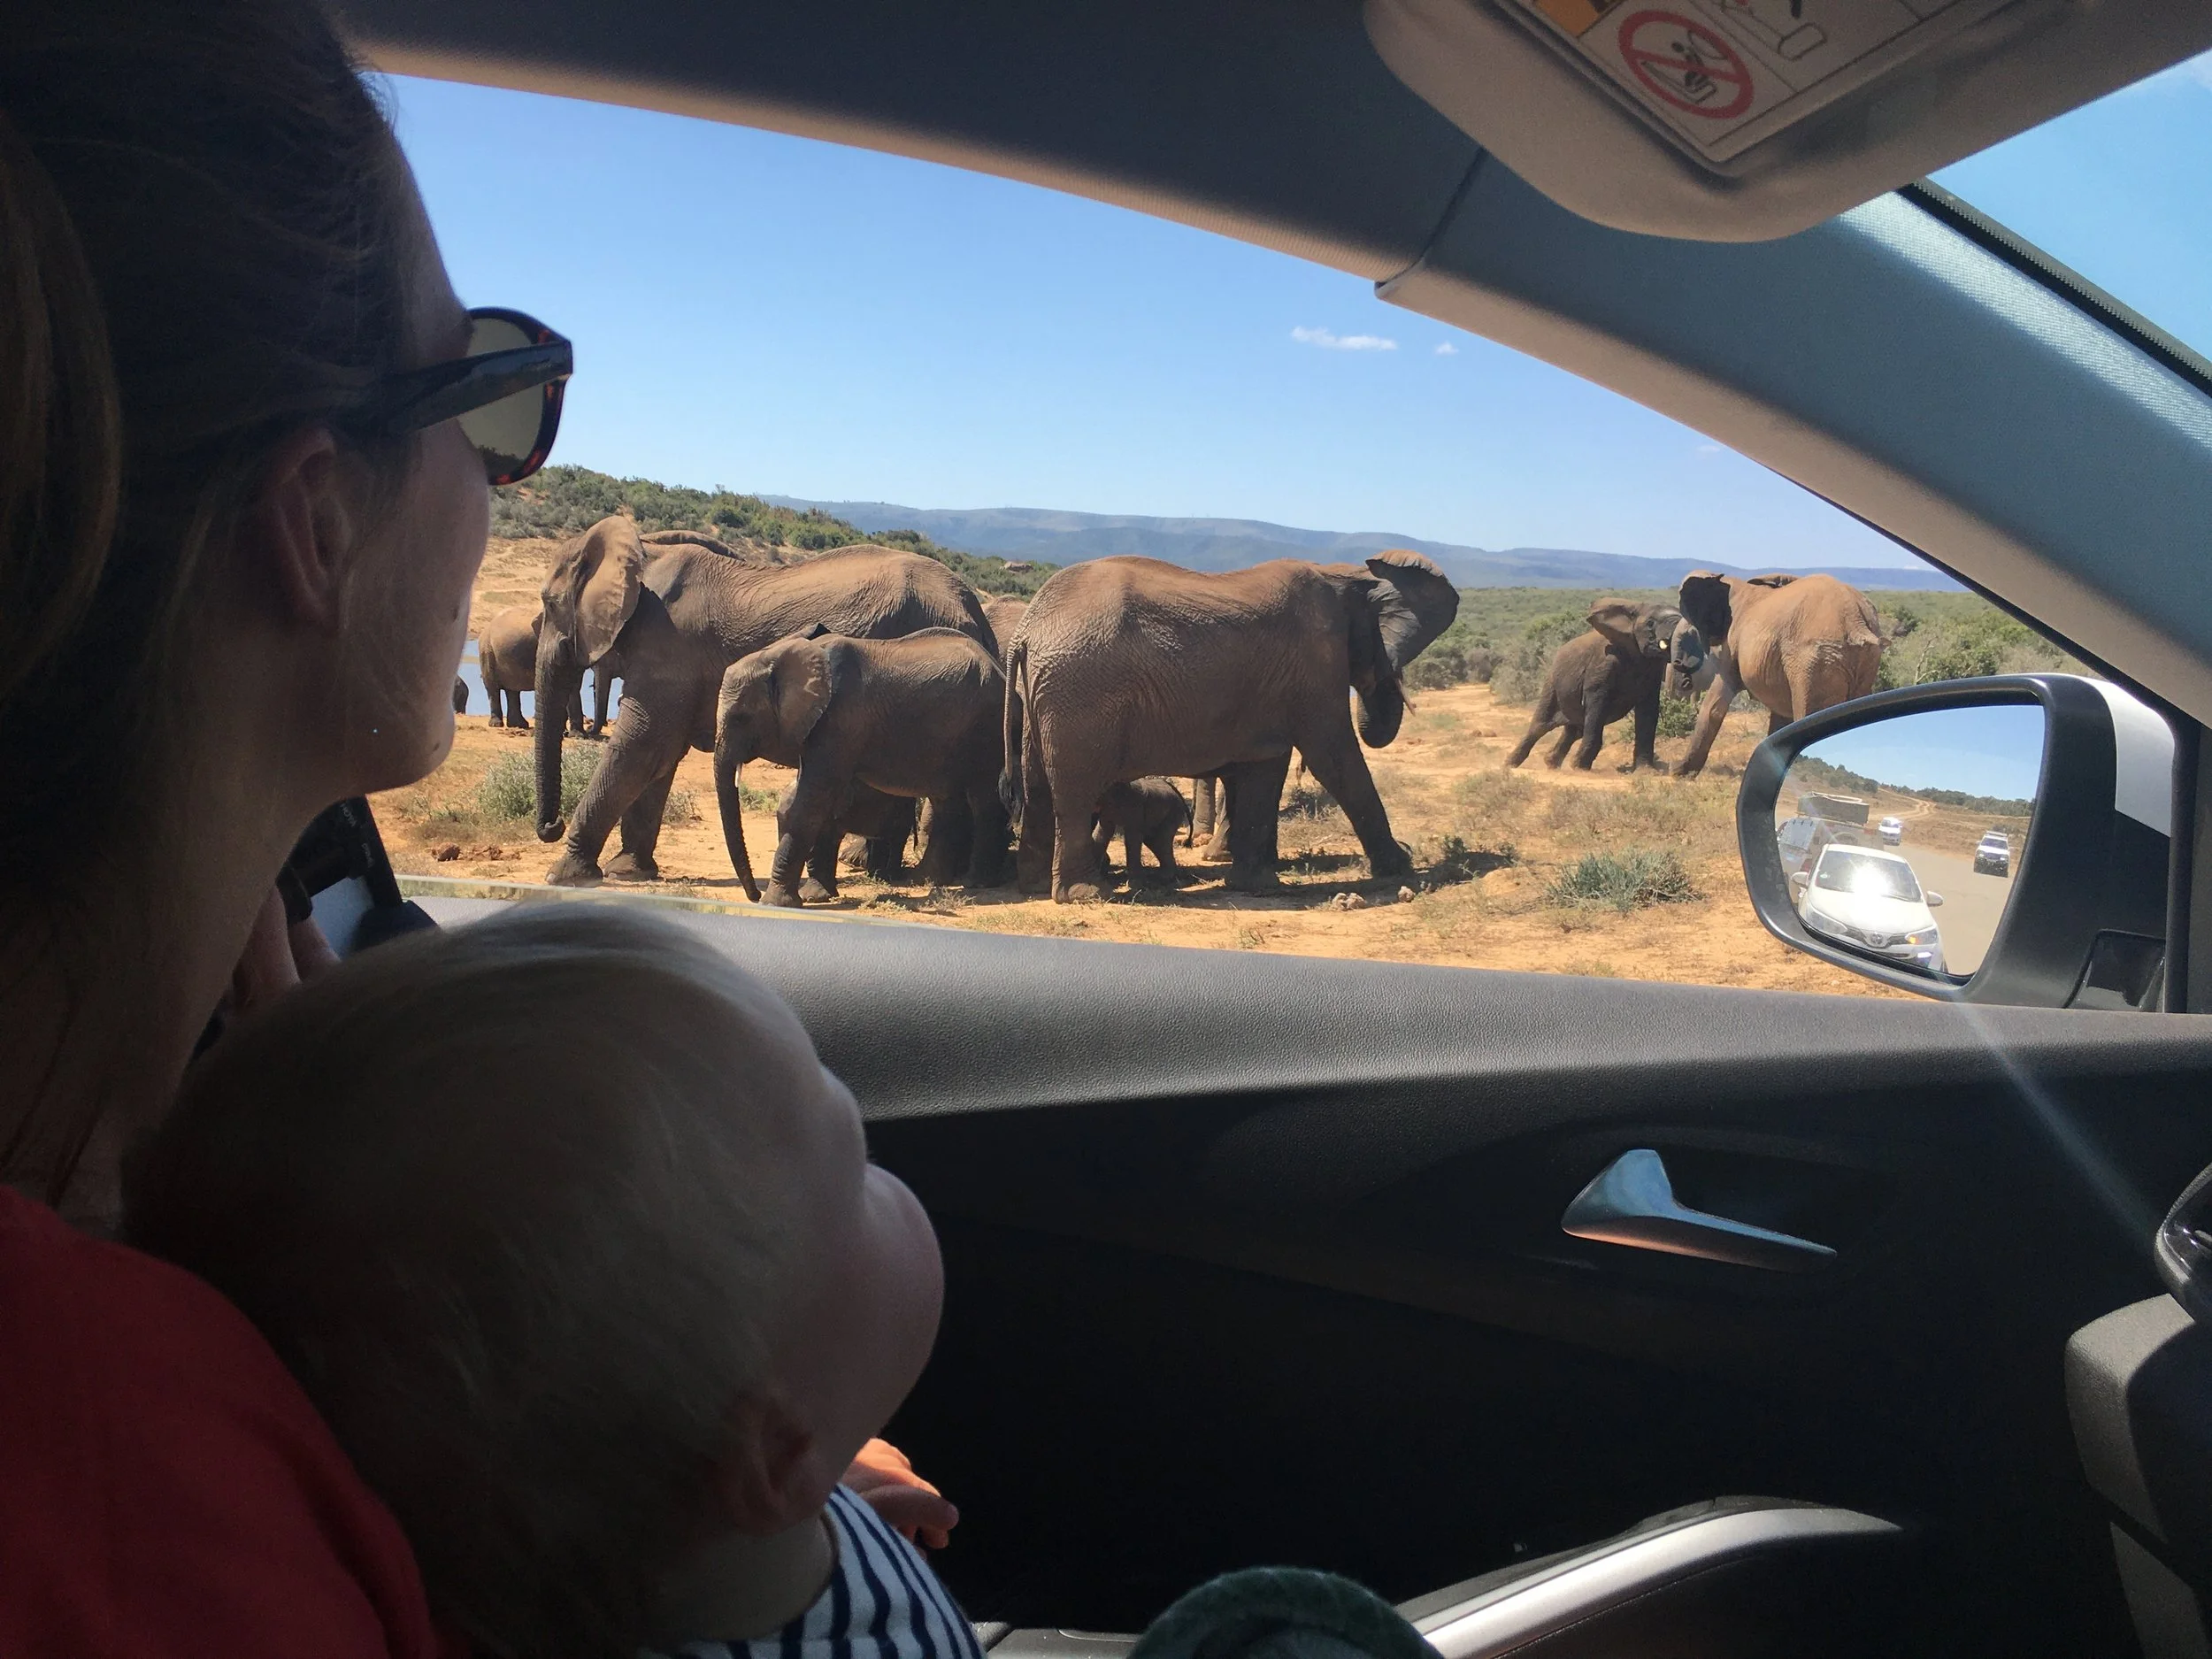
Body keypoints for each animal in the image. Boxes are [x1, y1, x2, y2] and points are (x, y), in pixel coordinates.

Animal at [532, 516, 995, 887]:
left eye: (549, 604)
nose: (551, 825)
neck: (644, 550)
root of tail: (976, 611)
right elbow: (659, 755)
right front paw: (629, 871)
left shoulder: (667, 646)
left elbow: (642, 745)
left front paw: (566, 875)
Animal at [714, 626, 1008, 906]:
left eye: (741, 717)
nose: (753, 895)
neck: (778, 656)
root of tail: (997, 668)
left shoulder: (839, 718)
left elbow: (809, 803)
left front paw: (777, 903)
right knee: (945, 801)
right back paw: (926, 880)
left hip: (988, 723)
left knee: (982, 799)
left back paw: (976, 883)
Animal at [1003, 551, 1458, 900]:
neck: (1345, 574)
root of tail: (1026, 631)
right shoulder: (1314, 660)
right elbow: (1334, 756)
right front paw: (1402, 866)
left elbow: (1265, 763)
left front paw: (1255, 883)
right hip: (1080, 692)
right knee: (1074, 792)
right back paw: (1084, 895)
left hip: (1046, 694)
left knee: (1037, 786)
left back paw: (1036, 887)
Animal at [1504, 599, 1691, 773]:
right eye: (1651, 623)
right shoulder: (1603, 663)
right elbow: (1597, 705)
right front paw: (1579, 767)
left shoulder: (1652, 671)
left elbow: (1648, 710)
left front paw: (1646, 772)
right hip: (1551, 683)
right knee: (1540, 725)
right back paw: (1509, 764)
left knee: (1575, 730)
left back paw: (1551, 763)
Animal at [1672, 571, 1883, 778]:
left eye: (1689, 631)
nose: (1683, 674)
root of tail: (1856, 622)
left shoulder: (1731, 644)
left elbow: (1714, 705)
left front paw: (1679, 771)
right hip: (1856, 662)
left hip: (1816, 659)